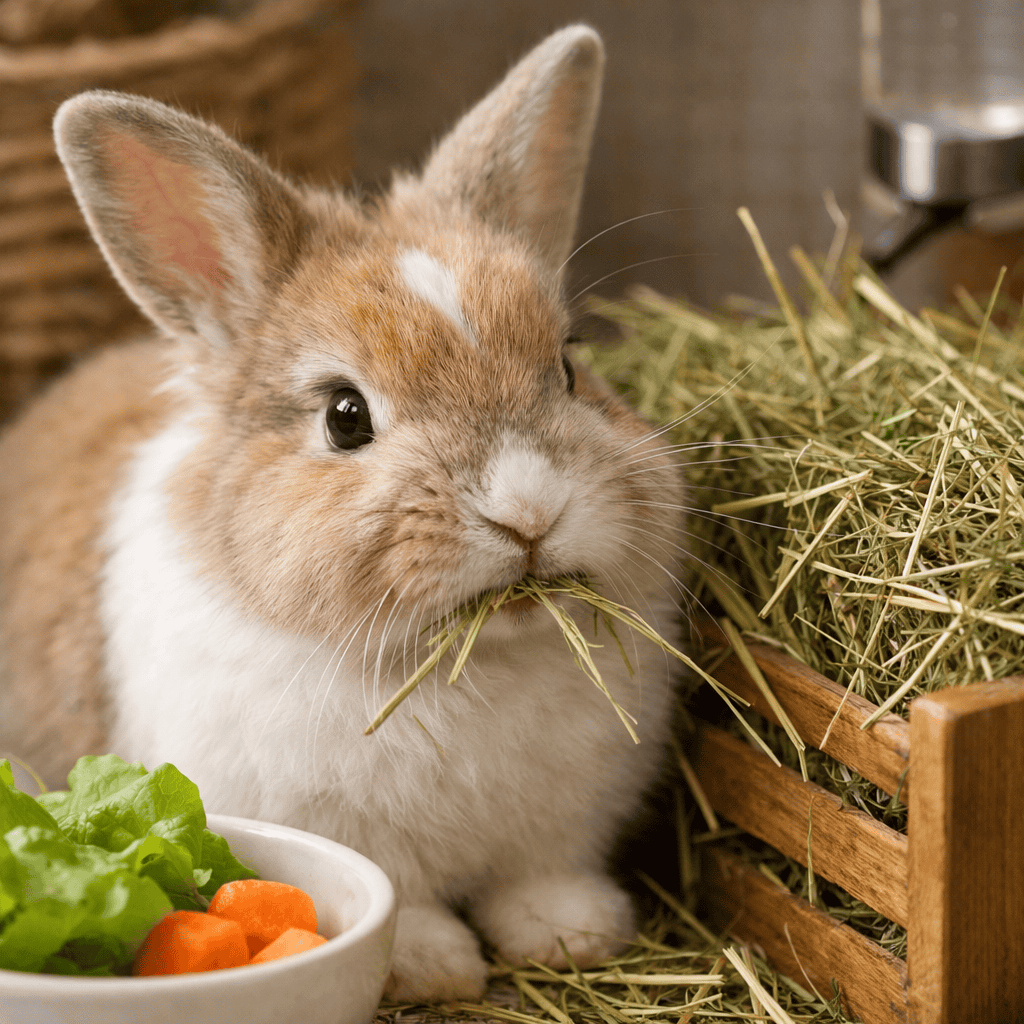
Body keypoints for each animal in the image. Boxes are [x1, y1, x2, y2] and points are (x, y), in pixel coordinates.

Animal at [0, 25, 685, 1001]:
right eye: (345, 416)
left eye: (567, 367)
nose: (529, 510)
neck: (467, 665)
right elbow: (408, 904)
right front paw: (434, 967)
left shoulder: (559, 832)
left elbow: (542, 879)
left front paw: (572, 935)